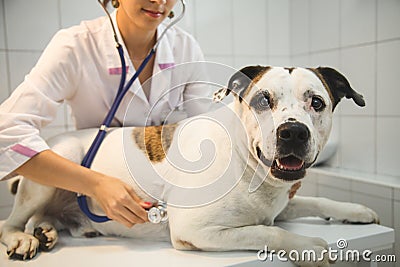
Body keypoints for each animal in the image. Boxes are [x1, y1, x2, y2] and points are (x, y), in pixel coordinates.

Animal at [0, 66, 378, 266]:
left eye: (317, 102)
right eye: (262, 100)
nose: (293, 132)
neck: (247, 164)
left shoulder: (282, 203)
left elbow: (316, 201)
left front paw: (355, 210)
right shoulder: (196, 230)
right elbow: (266, 231)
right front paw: (308, 248)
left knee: (44, 217)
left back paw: (46, 231)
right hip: (49, 172)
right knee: (11, 222)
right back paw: (23, 238)